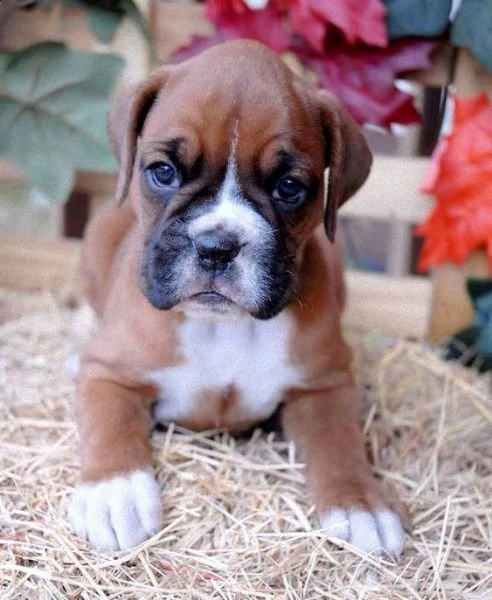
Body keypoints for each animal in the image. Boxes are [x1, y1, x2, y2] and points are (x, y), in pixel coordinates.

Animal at [67, 39, 406, 556]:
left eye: (289, 187)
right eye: (163, 172)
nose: (217, 246)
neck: (222, 326)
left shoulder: (324, 386)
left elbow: (339, 442)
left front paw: (359, 504)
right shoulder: (110, 372)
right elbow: (111, 423)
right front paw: (114, 493)